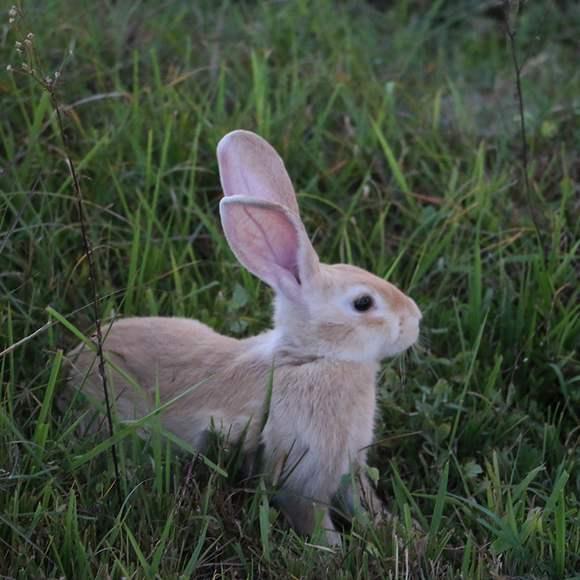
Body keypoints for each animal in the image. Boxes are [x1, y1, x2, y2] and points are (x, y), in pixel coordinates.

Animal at [65, 130, 422, 544]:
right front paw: (335, 551)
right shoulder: (303, 475)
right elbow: (312, 517)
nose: (415, 320)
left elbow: (363, 503)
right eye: (363, 303)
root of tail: (77, 360)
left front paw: (397, 531)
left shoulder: (351, 467)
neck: (311, 358)